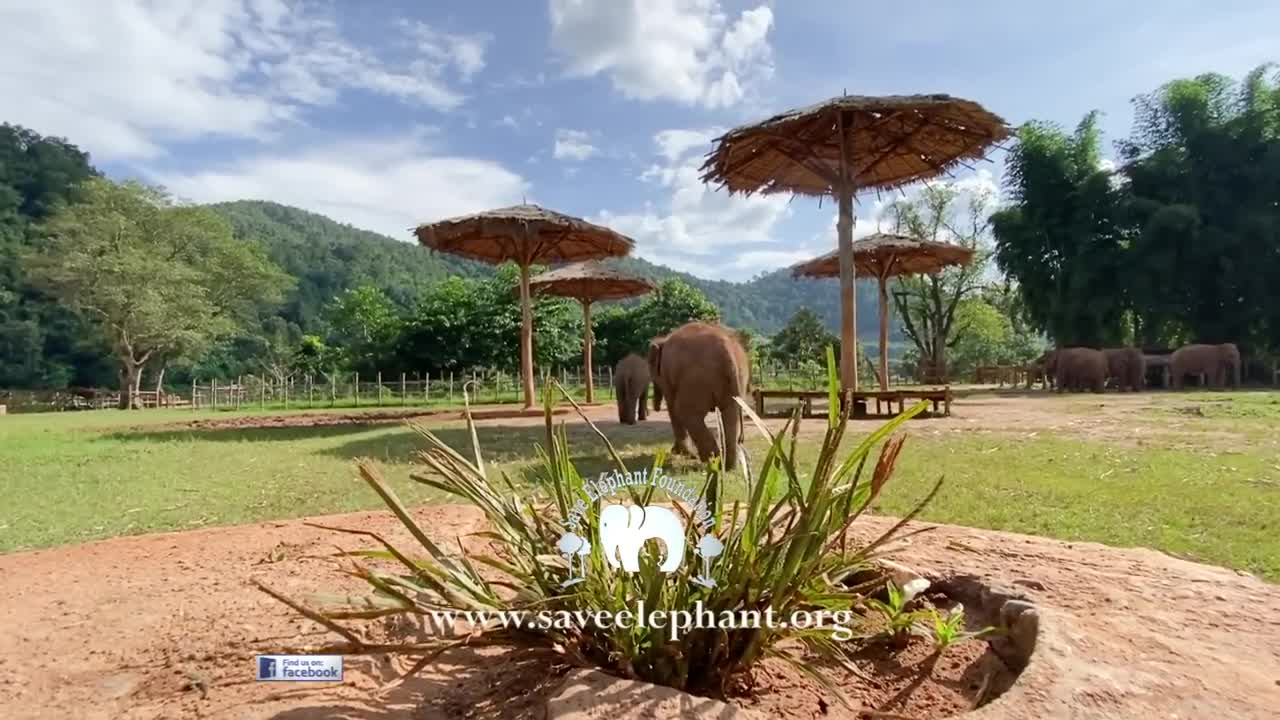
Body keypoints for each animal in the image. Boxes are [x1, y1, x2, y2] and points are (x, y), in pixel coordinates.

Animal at [650, 320, 747, 471]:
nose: (654, 408)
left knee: (684, 411)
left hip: (696, 380)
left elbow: (673, 408)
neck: (663, 339)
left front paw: (678, 453)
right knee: (731, 413)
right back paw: (728, 466)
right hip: (737, 380)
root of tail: (727, 353)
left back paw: (712, 461)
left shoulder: (667, 376)